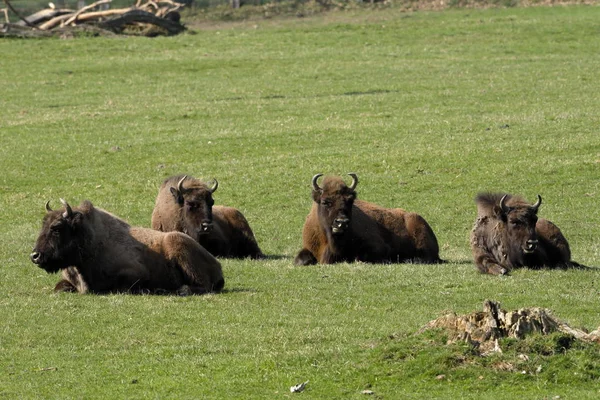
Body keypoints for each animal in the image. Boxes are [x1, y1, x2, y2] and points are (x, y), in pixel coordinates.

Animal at [30, 199, 224, 296]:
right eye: (43, 225)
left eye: (56, 228)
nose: (35, 256)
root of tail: (217, 264)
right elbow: (60, 287)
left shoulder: (136, 273)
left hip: (177, 242)